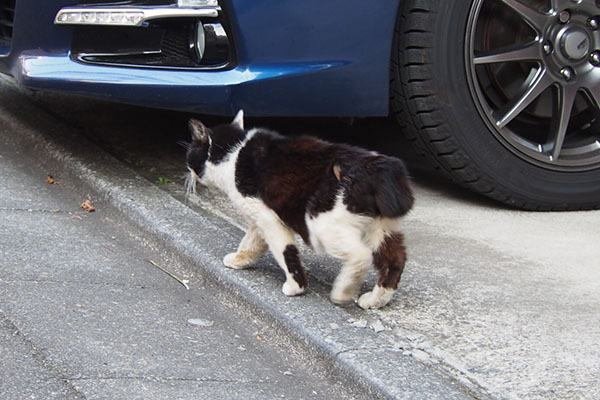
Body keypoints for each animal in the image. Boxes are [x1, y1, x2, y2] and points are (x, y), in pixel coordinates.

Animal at [185, 110, 414, 310]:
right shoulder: (260, 217)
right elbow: (251, 242)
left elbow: (285, 252)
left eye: (189, 155)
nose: (187, 172)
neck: (233, 153)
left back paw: (343, 292)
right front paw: (240, 260)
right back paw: (375, 300)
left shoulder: (270, 220)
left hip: (321, 224)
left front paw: (296, 287)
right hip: (381, 229)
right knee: (395, 261)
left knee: (361, 255)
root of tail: (379, 169)